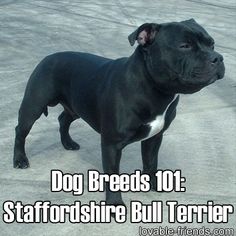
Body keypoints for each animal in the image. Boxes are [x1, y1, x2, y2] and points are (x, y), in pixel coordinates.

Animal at [13, 19, 225, 206]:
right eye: (184, 46)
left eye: (212, 44)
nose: (218, 57)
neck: (154, 88)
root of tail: (48, 57)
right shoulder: (112, 145)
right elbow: (113, 176)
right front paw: (115, 204)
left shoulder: (154, 137)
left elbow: (151, 163)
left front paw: (153, 184)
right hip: (33, 106)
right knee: (21, 130)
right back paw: (20, 159)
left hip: (75, 104)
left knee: (64, 118)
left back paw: (68, 143)